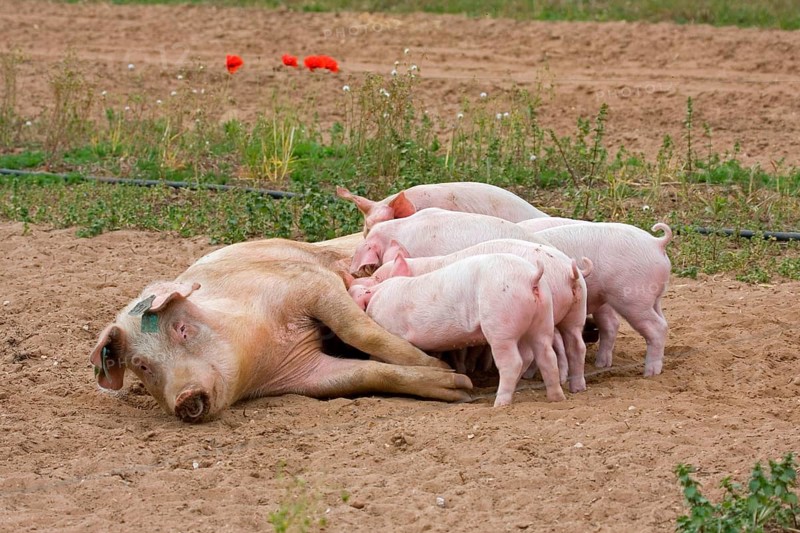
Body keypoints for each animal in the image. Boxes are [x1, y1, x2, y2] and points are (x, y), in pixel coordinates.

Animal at [89, 237, 473, 423]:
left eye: (182, 329)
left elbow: (361, 332)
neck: (263, 350)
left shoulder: (310, 284)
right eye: (142, 365)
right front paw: (455, 387)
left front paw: (448, 373)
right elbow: (366, 374)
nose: (184, 397)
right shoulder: (304, 375)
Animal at [350, 253, 564, 406]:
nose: (352, 280)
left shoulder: (390, 328)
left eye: (374, 277)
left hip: (500, 323)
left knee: (513, 362)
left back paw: (499, 403)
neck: (378, 293)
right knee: (546, 356)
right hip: (543, 319)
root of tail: (532, 278)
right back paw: (556, 399)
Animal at [367, 239, 592, 391]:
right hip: (576, 311)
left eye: (377, 277)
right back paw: (576, 387)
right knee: (575, 345)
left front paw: (463, 369)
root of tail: (570, 271)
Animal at [526, 222, 673, 376]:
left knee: (657, 327)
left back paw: (650, 373)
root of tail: (657, 242)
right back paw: (601, 365)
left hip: (632, 298)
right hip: (649, 298)